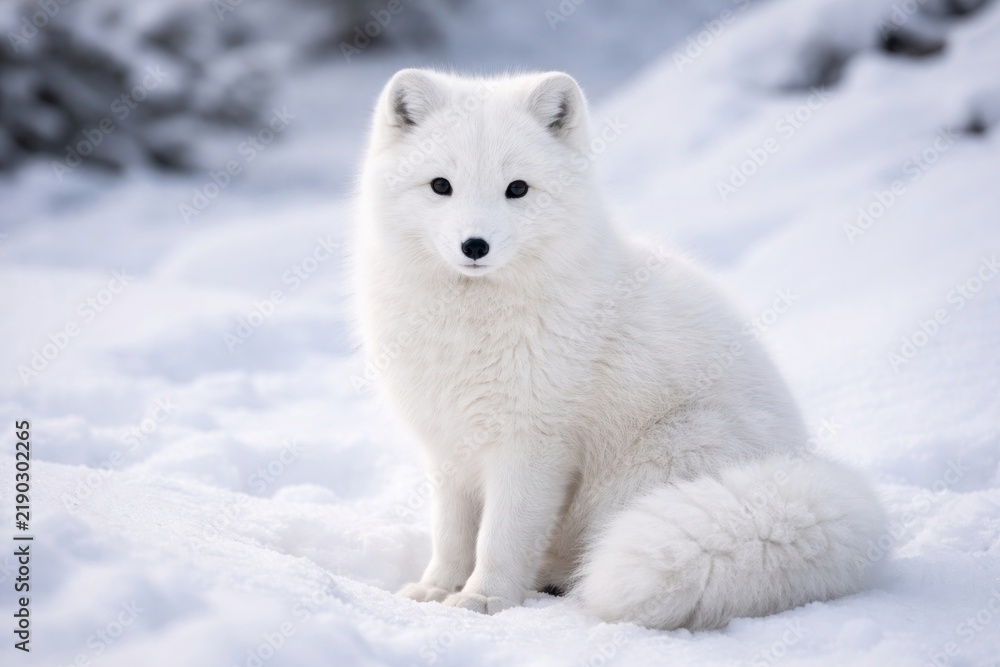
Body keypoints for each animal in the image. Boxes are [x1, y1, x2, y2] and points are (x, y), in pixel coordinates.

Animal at [353, 68, 886, 630]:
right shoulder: (448, 443)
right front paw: (436, 590)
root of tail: (802, 461)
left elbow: (500, 537)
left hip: (660, 458)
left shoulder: (533, 443)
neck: (469, 325)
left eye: (517, 189)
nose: (474, 246)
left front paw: (484, 599)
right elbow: (452, 535)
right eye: (441, 185)